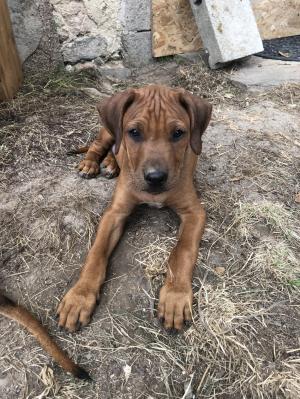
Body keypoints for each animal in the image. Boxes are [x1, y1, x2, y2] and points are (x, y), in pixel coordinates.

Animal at [56, 86, 211, 332]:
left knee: (113, 149)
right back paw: (91, 164)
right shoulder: (114, 213)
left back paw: (111, 163)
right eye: (134, 132)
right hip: (107, 131)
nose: (155, 178)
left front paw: (175, 297)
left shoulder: (194, 212)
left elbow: (183, 251)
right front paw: (79, 297)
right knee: (99, 145)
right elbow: (96, 253)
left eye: (178, 133)